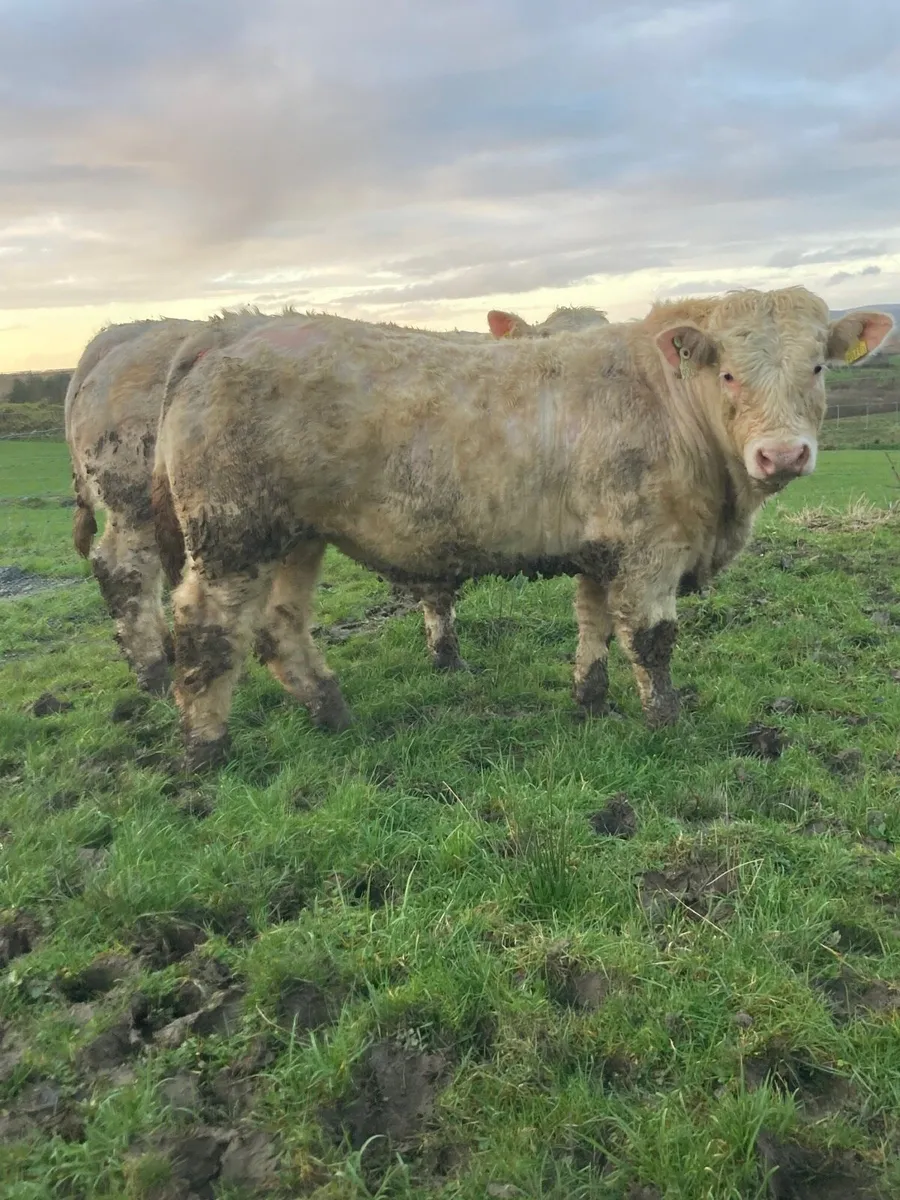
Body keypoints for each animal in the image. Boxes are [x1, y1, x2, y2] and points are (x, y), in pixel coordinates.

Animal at [152, 285, 893, 772]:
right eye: (731, 374)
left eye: (817, 367)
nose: (784, 454)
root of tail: (229, 328)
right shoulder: (649, 547)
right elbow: (652, 641)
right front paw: (667, 724)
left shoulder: (603, 546)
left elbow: (595, 623)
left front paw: (590, 702)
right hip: (233, 531)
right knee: (208, 627)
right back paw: (206, 750)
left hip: (296, 535)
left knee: (279, 627)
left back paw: (331, 711)